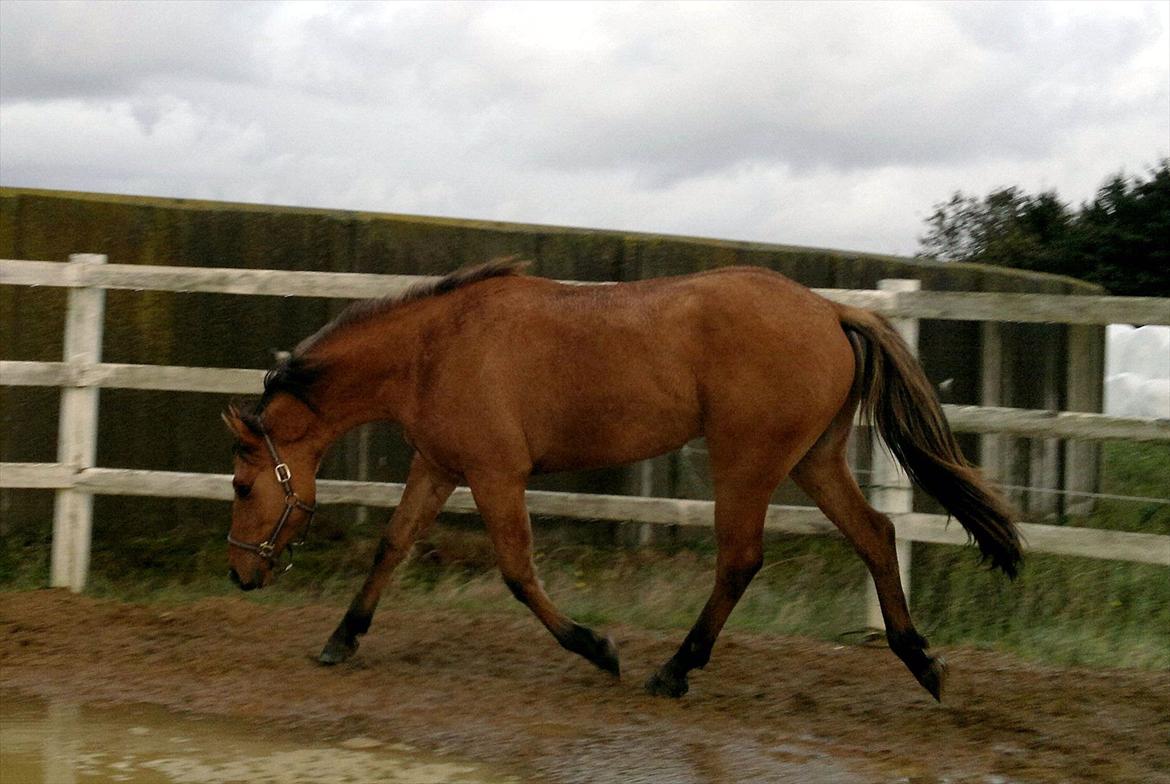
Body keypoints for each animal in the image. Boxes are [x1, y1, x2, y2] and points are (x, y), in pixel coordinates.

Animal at [223, 259, 1020, 701]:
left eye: (241, 486)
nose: (238, 574)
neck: (434, 349)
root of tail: (831, 309)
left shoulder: (494, 473)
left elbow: (517, 571)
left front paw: (598, 648)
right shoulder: (439, 466)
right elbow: (392, 546)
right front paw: (340, 640)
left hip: (748, 460)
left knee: (740, 559)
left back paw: (673, 671)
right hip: (812, 460)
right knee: (877, 535)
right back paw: (922, 662)